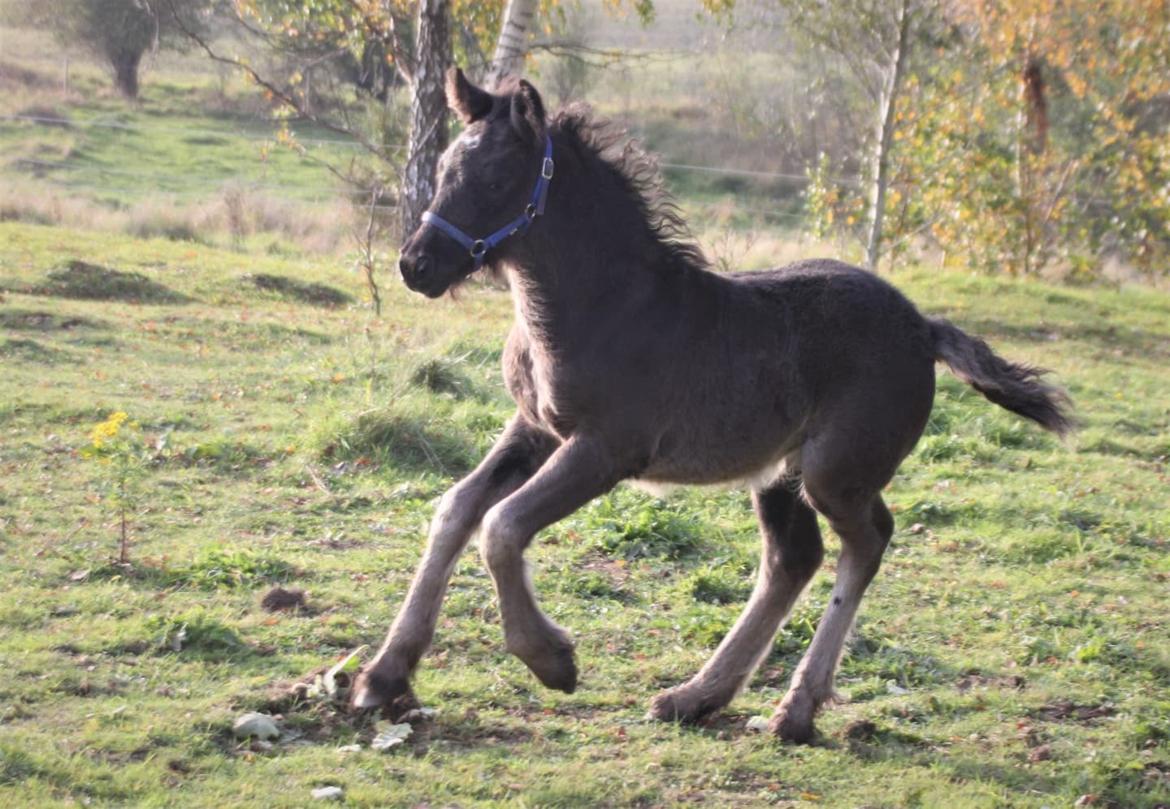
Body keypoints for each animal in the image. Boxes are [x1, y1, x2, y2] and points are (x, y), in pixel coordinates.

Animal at [350, 69, 1072, 742]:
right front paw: (383, 676)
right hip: (782, 473)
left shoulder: (606, 447)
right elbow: (457, 510)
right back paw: (696, 696)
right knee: (794, 558)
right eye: (445, 168)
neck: (599, 306)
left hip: (833, 473)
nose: (416, 264)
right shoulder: (535, 428)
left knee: (866, 541)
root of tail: (924, 326)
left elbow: (502, 525)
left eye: (499, 178)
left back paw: (795, 709)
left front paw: (551, 659)